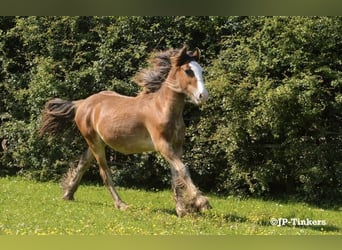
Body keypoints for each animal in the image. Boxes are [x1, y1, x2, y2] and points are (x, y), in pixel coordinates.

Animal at [39, 46, 211, 218]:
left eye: (201, 70)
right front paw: (201, 203)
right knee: (105, 173)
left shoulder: (176, 146)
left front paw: (182, 210)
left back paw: (68, 194)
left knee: (83, 163)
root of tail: (81, 104)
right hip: (95, 144)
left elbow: (176, 176)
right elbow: (183, 169)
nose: (203, 96)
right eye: (188, 71)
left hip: (95, 143)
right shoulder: (163, 145)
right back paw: (121, 204)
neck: (162, 108)